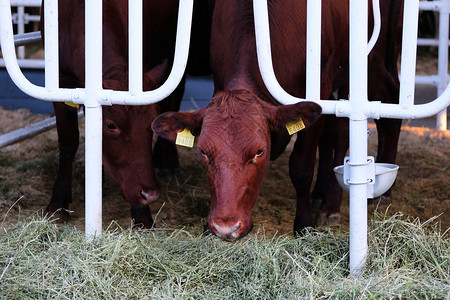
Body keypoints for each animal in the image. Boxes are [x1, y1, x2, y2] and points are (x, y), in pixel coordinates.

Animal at [42, 0, 211, 227]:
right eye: (111, 125)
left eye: (151, 124)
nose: (150, 194)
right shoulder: (61, 84)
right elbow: (68, 143)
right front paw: (58, 204)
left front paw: (142, 214)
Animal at [153, 0, 402, 239]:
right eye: (204, 152)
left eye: (259, 151)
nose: (226, 227)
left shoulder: (319, 87)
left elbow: (301, 167)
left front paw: (304, 225)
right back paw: (320, 195)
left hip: (365, 67)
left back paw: (344, 202)